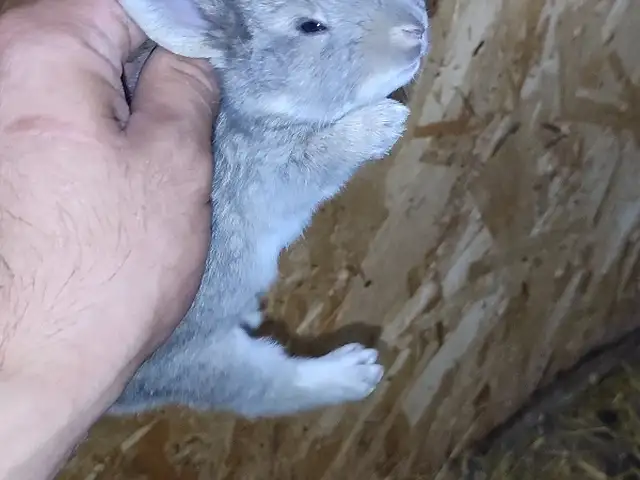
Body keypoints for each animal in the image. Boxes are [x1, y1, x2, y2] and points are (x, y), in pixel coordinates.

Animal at [111, 0, 429, 418]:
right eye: (310, 26)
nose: (416, 27)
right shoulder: (270, 170)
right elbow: (320, 156)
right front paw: (384, 123)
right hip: (198, 358)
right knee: (266, 389)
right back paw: (356, 371)